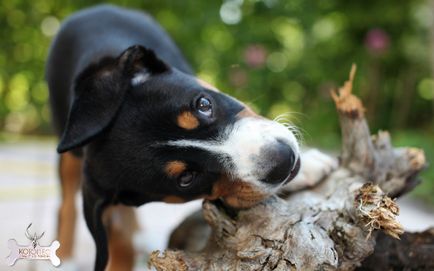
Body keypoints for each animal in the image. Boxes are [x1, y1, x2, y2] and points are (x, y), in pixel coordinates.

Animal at [45, 4, 302, 271]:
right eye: (186, 178)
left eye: (203, 104)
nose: (284, 160)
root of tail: (91, 9)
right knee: (67, 203)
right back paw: (67, 258)